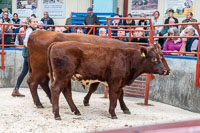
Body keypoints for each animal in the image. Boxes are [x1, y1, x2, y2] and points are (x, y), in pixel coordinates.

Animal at [27, 30, 170, 110]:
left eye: (162, 55)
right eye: (158, 57)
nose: (167, 70)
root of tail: (37, 32)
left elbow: (100, 89)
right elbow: (118, 93)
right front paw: (123, 108)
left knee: (44, 83)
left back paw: (51, 100)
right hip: (40, 70)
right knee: (33, 82)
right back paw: (39, 103)